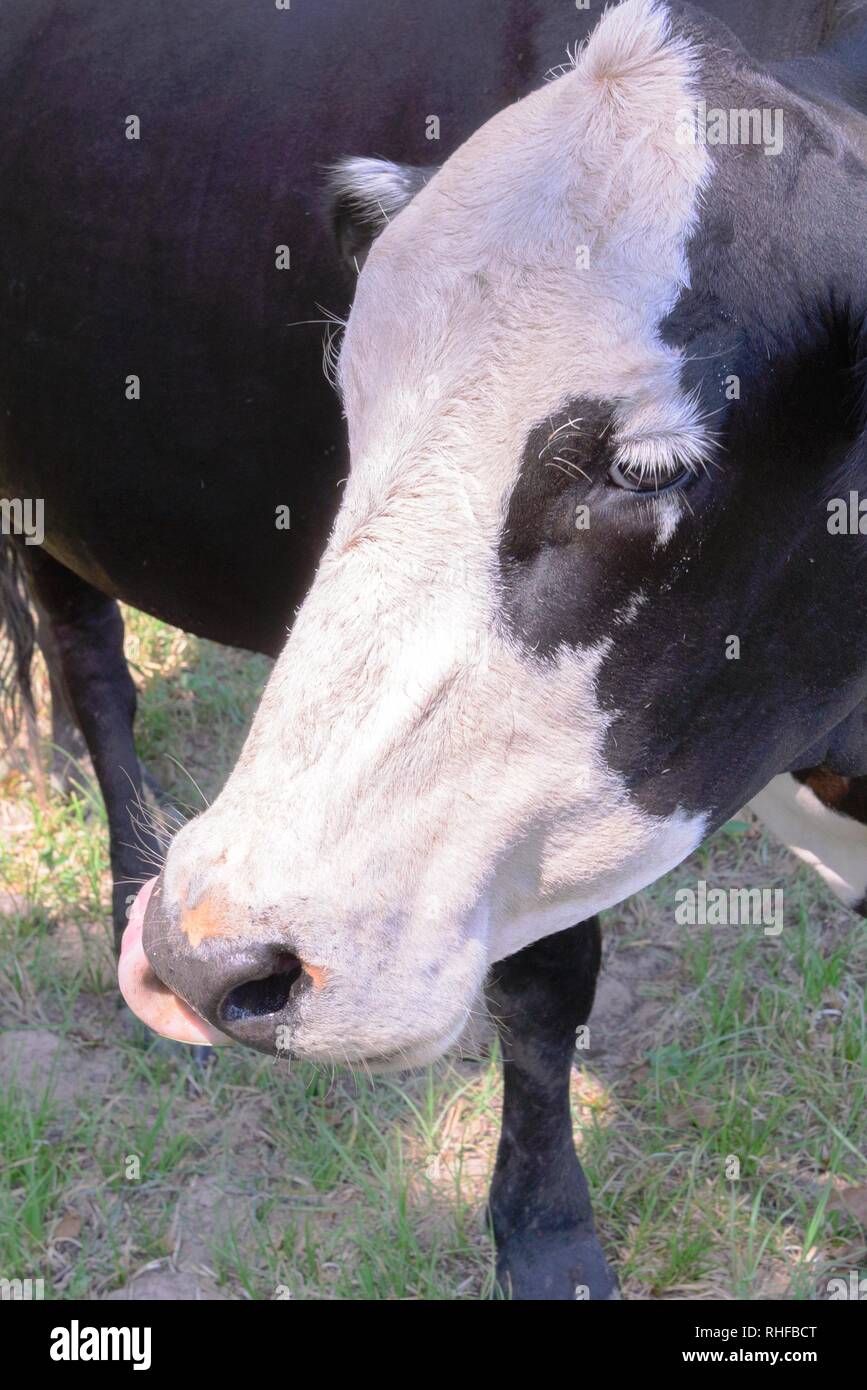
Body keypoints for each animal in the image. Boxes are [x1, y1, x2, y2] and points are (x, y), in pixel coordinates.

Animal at [3, 0, 866, 1297]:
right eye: (354, 401)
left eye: (643, 468)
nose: (201, 950)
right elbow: (546, 988)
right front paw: (548, 1234)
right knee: (96, 662)